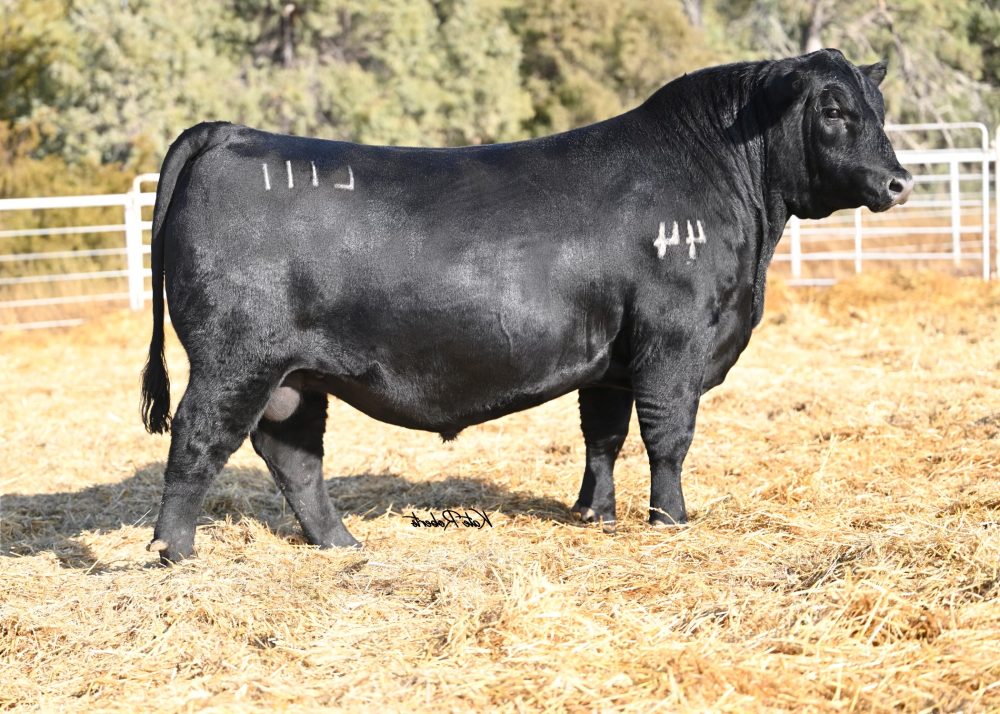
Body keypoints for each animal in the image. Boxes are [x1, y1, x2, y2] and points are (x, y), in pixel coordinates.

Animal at [141, 49, 913, 563]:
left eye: (878, 110)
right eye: (834, 110)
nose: (898, 181)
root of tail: (230, 131)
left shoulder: (612, 361)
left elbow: (603, 436)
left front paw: (595, 513)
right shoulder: (674, 342)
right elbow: (669, 437)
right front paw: (671, 520)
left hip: (295, 374)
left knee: (292, 453)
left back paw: (340, 543)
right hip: (234, 357)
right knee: (198, 438)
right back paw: (173, 553)